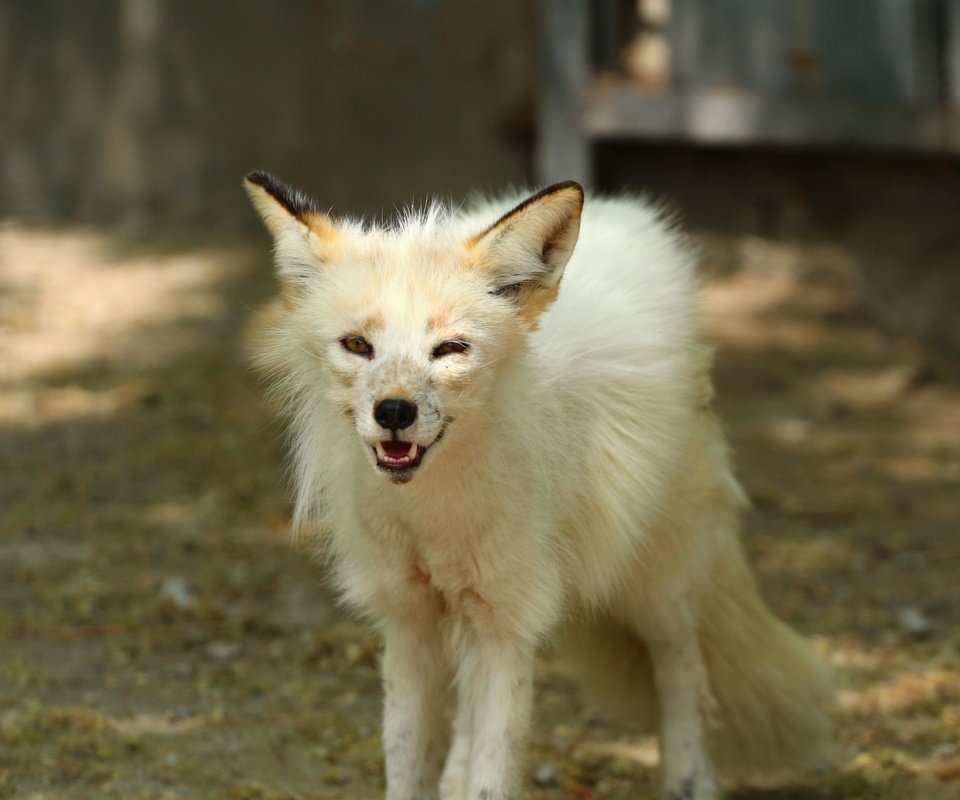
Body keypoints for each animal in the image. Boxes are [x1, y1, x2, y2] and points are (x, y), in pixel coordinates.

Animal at [246, 175, 832, 800]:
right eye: (358, 345)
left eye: (450, 349)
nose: (394, 412)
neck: (436, 515)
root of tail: (620, 210)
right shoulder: (410, 619)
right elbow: (409, 764)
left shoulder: (509, 618)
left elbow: (493, 773)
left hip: (655, 583)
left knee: (684, 672)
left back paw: (687, 779)